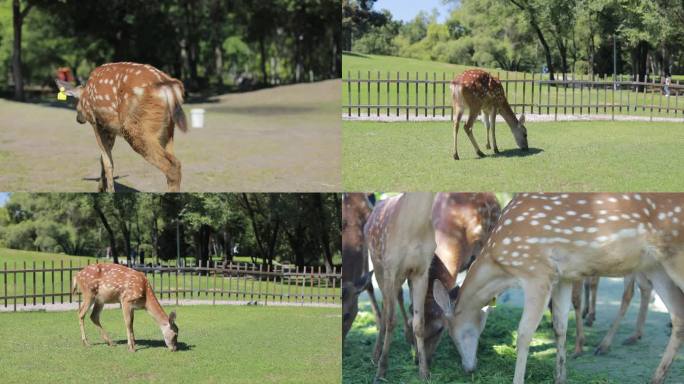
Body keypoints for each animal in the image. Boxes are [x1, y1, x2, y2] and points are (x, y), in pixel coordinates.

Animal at [55, 62, 187, 192]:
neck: (85, 95)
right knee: (175, 161)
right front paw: (102, 188)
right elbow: (103, 159)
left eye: (76, 104)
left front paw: (109, 192)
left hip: (136, 127)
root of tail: (170, 86)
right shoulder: (109, 129)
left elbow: (107, 162)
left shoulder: (96, 123)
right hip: (168, 130)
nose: (78, 119)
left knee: (172, 166)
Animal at [366, 192, 436, 380]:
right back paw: (375, 354)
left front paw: (424, 370)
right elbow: (391, 319)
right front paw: (381, 370)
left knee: (399, 300)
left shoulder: (421, 271)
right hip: (378, 267)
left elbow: (420, 322)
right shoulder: (390, 267)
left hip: (402, 276)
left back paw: (412, 347)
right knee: (384, 306)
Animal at [432, 194, 684, 384]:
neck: (501, 265)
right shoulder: (562, 277)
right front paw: (560, 377)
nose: (468, 368)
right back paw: (656, 377)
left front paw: (519, 379)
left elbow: (524, 334)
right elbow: (560, 326)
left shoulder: (537, 273)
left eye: (452, 331)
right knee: (677, 313)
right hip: (655, 266)